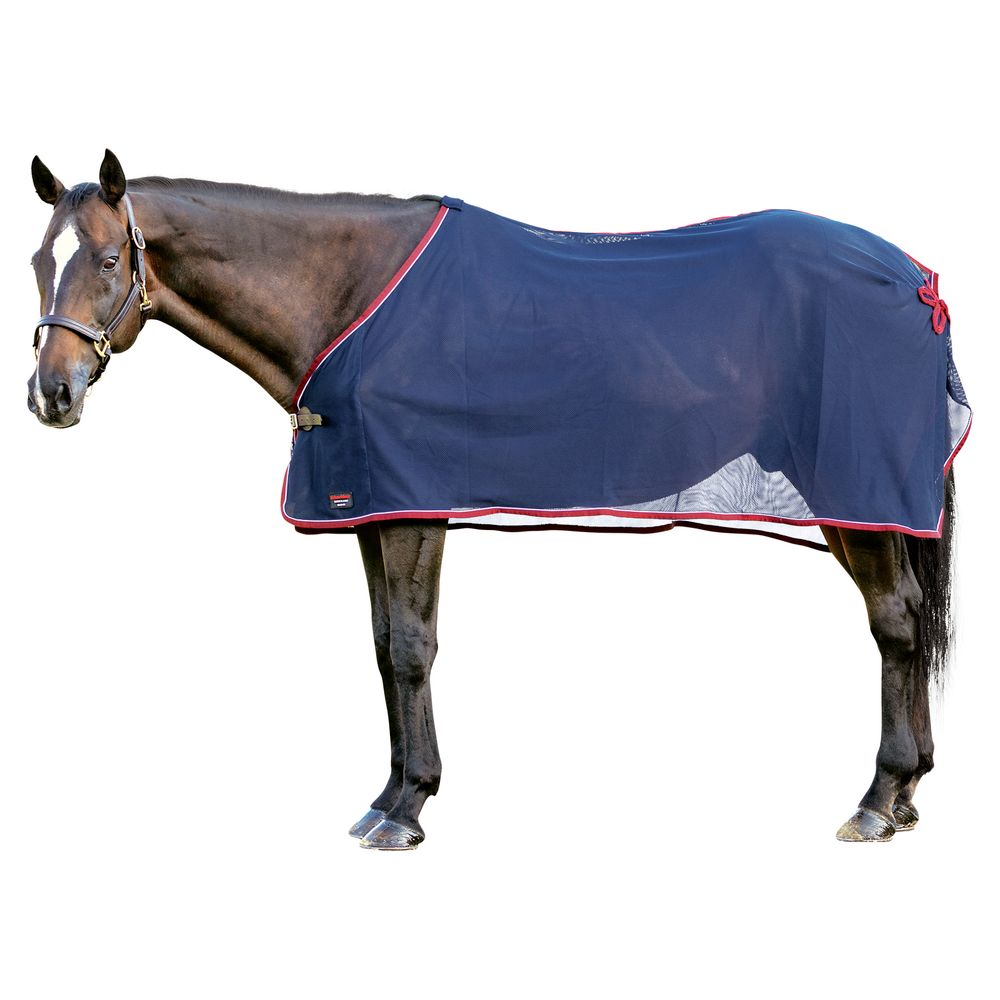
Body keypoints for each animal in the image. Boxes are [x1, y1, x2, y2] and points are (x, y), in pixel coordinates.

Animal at [27, 150, 965, 850]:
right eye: (39, 261)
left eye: (107, 260)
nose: (51, 394)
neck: (348, 296)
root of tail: (917, 278)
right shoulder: (368, 505)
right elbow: (382, 648)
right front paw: (389, 794)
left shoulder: (412, 509)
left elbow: (411, 648)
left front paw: (407, 808)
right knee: (908, 617)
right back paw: (907, 793)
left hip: (858, 491)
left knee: (894, 620)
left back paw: (877, 798)